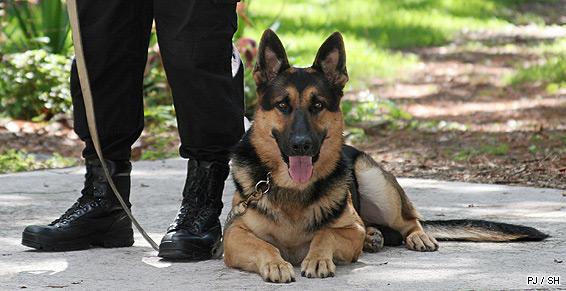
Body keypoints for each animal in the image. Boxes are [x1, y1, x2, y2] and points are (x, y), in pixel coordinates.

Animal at [223, 29, 552, 282]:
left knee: (409, 219)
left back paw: (414, 236)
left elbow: (324, 235)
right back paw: (374, 236)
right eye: (283, 105)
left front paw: (317, 258)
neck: (293, 190)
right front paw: (276, 263)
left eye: (318, 105)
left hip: (374, 179)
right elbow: (265, 246)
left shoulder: (349, 229)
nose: (301, 145)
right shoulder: (234, 235)